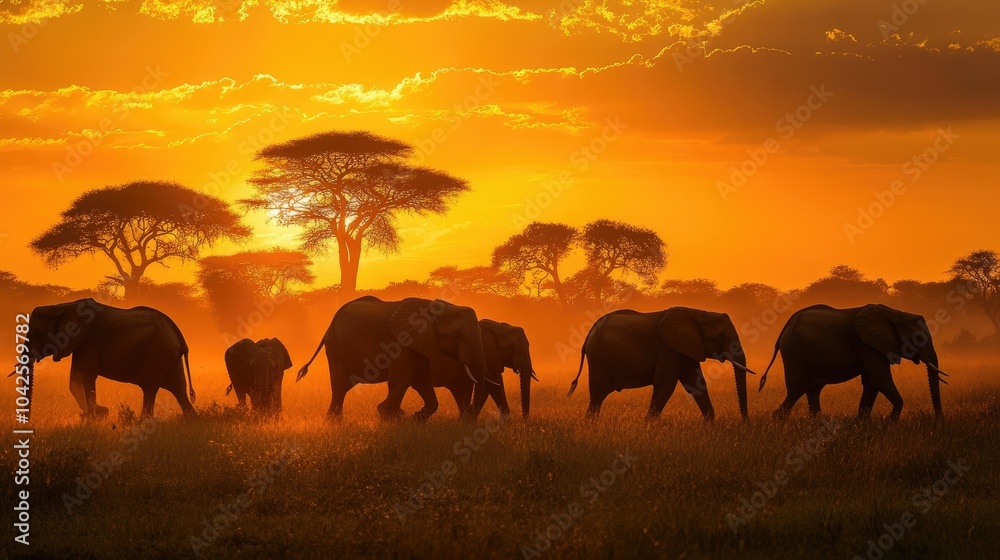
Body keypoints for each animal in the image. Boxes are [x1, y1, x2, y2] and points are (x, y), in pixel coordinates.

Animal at [16, 298, 195, 419]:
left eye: (38, 333)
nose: (28, 422)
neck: (63, 306)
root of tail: (179, 337)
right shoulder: (82, 344)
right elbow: (74, 380)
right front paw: (97, 413)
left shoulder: (89, 341)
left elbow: (86, 376)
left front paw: (96, 414)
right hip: (169, 357)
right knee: (178, 388)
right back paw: (191, 420)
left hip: (158, 354)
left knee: (151, 389)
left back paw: (142, 423)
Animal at [296, 296, 494, 420]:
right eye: (457, 336)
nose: (469, 416)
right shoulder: (402, 343)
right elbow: (402, 380)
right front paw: (388, 416)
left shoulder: (420, 345)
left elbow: (421, 381)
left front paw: (413, 419)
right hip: (335, 347)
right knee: (340, 386)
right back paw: (334, 423)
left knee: (342, 387)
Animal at [568, 307, 755, 421]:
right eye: (721, 337)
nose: (745, 423)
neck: (697, 314)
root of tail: (589, 333)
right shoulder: (669, 350)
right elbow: (665, 385)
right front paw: (648, 427)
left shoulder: (687, 349)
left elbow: (696, 385)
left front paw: (710, 424)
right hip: (599, 359)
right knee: (597, 395)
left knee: (597, 396)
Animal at [759, 304, 948, 419]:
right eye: (919, 338)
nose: (939, 420)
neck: (895, 314)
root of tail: (786, 327)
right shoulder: (868, 345)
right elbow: (880, 379)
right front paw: (890, 422)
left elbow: (872, 383)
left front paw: (862, 423)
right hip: (795, 352)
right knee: (797, 389)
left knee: (812, 390)